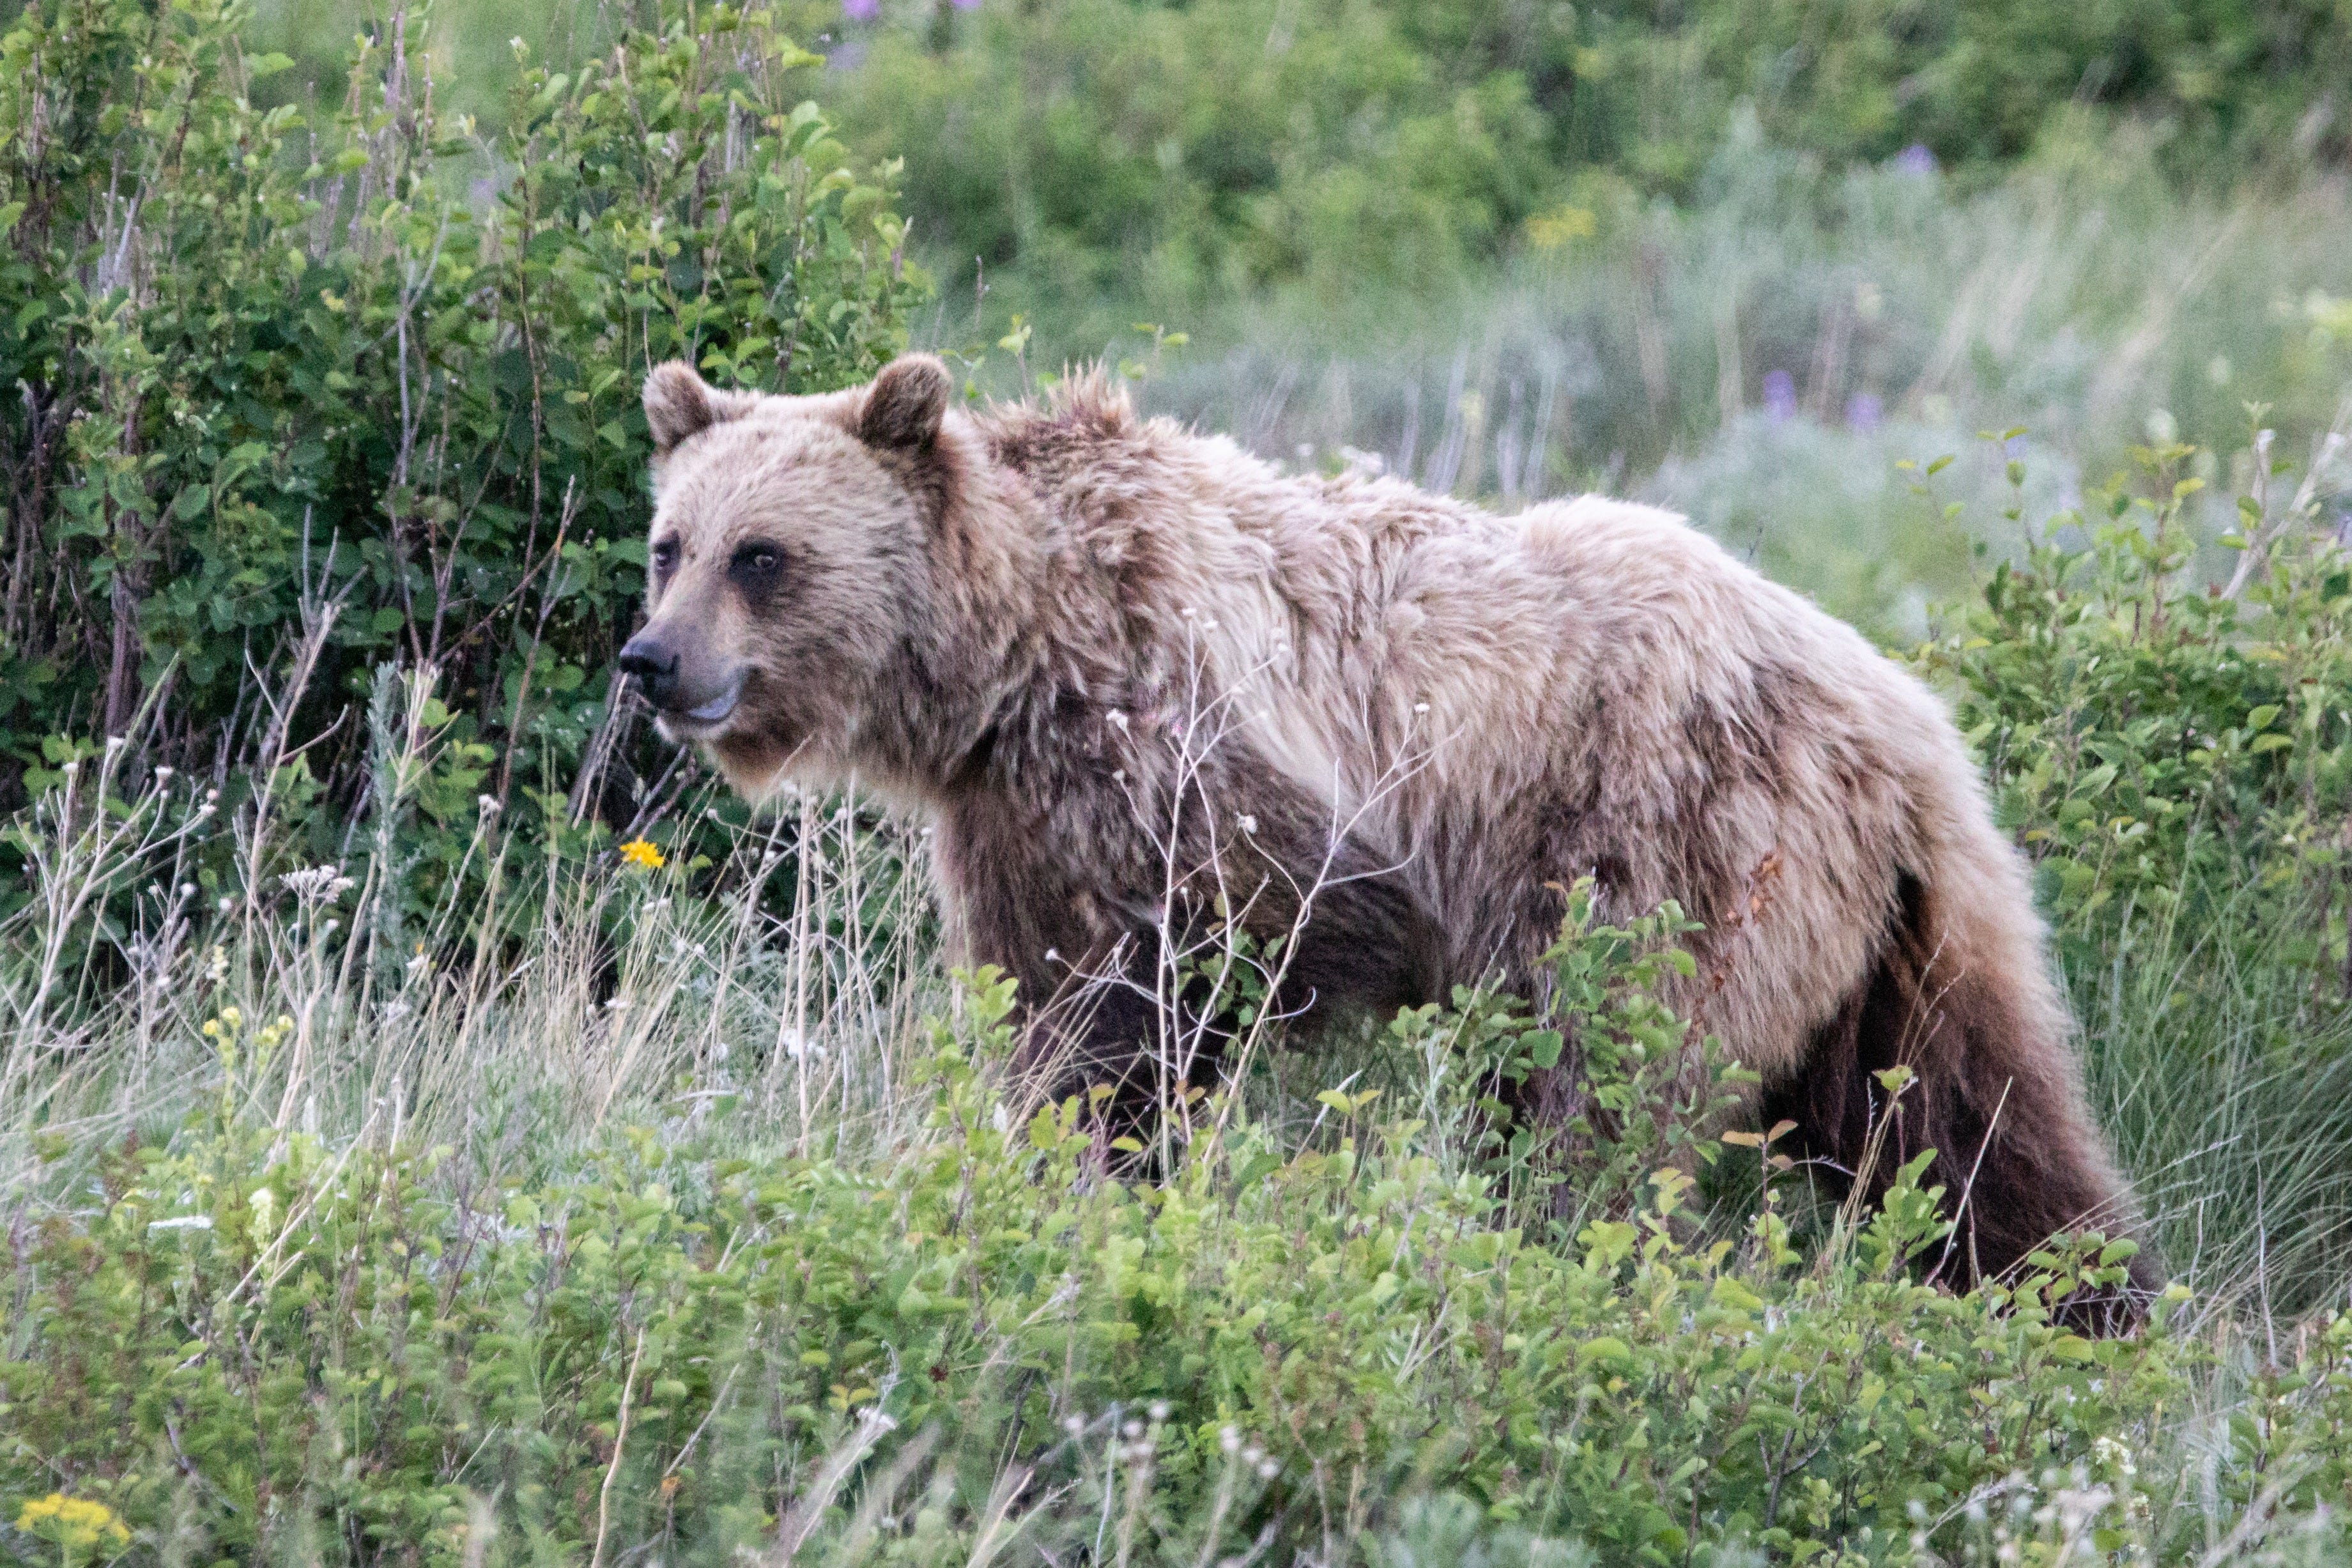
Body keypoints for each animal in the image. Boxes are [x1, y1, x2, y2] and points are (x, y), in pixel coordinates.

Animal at [621, 351, 2158, 1310]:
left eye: (764, 555)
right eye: (670, 543)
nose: (652, 662)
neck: (1010, 667)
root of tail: (1909, 723)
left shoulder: (1204, 771)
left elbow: (1175, 990)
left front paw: (1119, 1153)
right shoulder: (1023, 826)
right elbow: (1048, 1005)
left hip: (1680, 854)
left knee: (1606, 1094)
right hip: (1899, 934)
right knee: (1978, 1122)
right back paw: (2083, 1302)